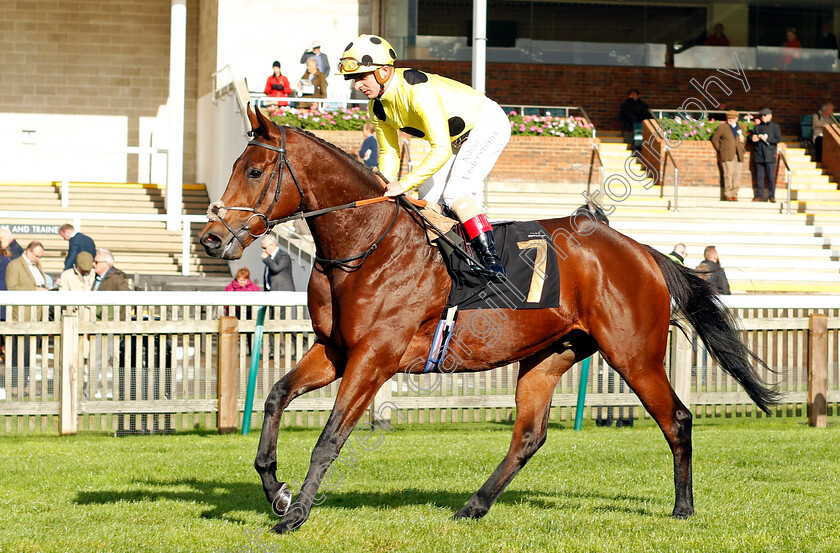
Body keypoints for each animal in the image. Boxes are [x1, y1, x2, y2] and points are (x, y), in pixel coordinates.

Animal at [200, 105, 776, 532]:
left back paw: (683, 508)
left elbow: (330, 438)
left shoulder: (374, 358)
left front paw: (294, 514)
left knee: (676, 418)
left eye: (254, 171)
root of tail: (643, 251)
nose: (210, 238)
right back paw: (473, 505)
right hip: (550, 355)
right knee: (528, 436)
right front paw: (276, 491)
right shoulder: (336, 351)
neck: (367, 246)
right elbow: (275, 397)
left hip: (634, 354)